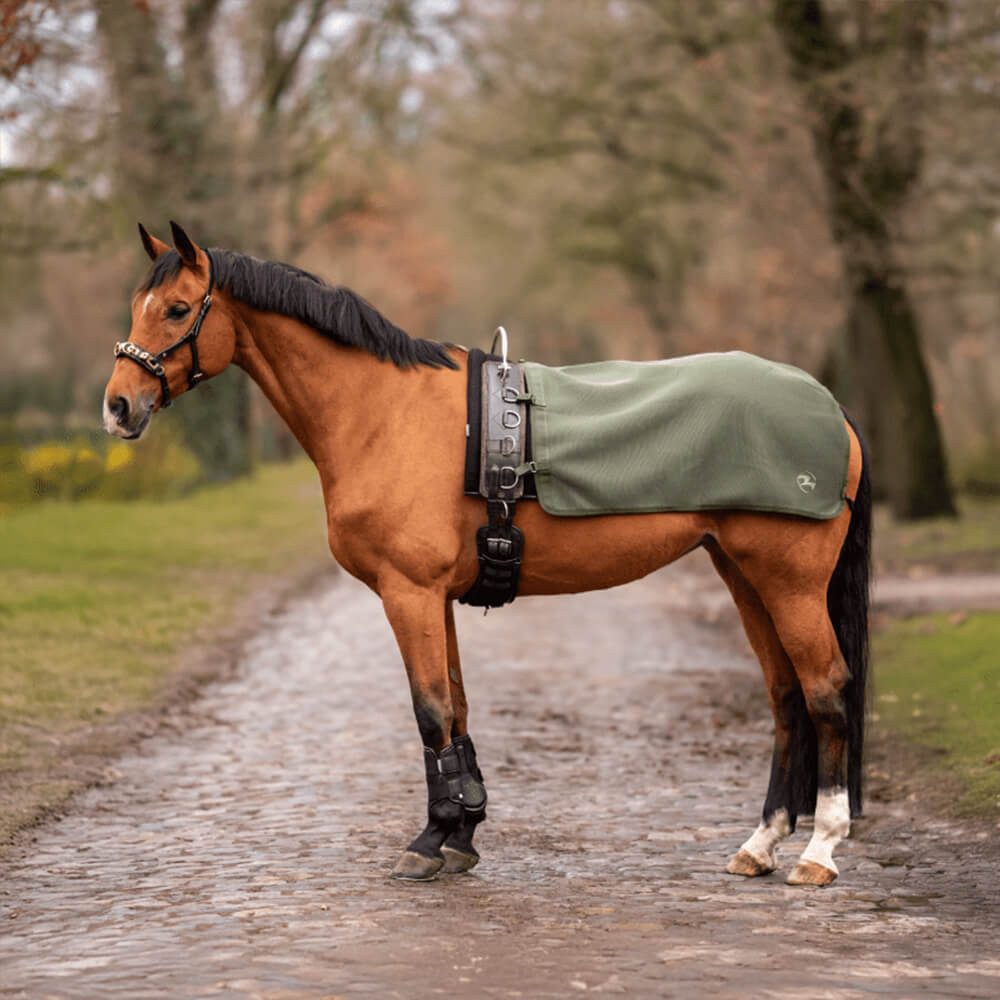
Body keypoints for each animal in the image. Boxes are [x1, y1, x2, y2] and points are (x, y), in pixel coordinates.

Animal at [102, 221, 870, 887]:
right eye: (137, 306)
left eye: (177, 309)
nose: (118, 407)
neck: (383, 412)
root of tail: (832, 408)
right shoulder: (433, 596)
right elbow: (458, 708)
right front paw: (461, 833)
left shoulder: (407, 592)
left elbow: (430, 710)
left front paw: (429, 839)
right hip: (742, 573)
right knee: (785, 696)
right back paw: (761, 843)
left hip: (789, 581)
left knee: (826, 690)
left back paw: (820, 850)